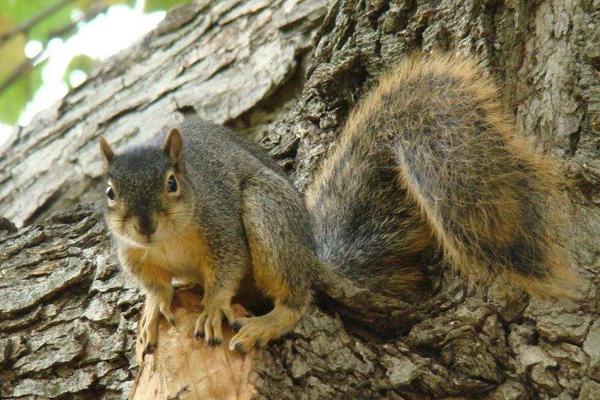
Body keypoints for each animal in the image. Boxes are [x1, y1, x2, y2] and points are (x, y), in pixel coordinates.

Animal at [98, 51, 572, 354]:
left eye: (172, 183)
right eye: (110, 192)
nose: (144, 226)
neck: (169, 241)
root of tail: (311, 255)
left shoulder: (221, 224)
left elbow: (227, 267)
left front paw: (212, 308)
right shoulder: (134, 254)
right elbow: (154, 285)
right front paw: (156, 308)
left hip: (268, 215)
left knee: (296, 297)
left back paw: (267, 322)